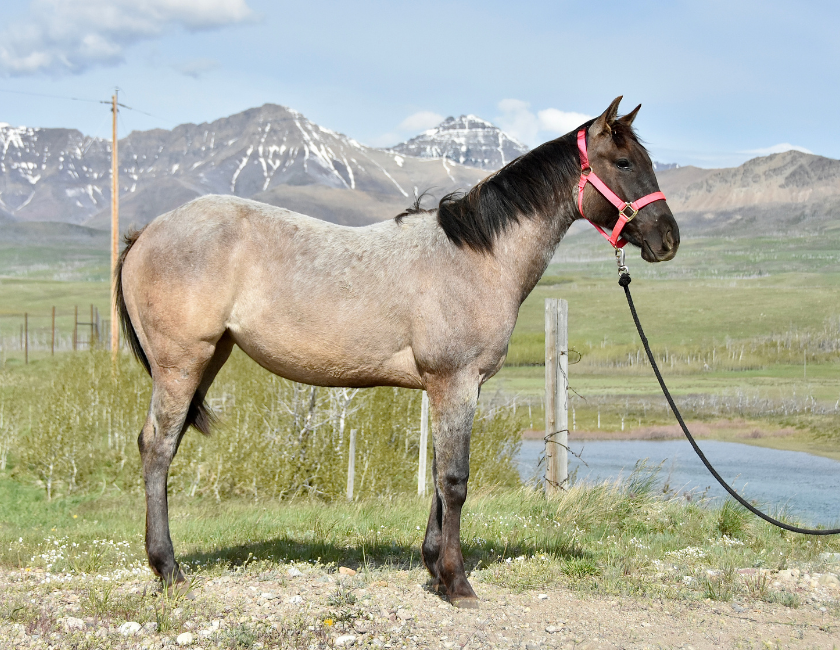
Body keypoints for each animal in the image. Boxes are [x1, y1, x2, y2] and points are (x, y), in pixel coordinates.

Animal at [116, 96, 679, 607]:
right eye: (624, 163)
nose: (669, 239)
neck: (476, 257)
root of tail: (147, 232)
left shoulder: (454, 387)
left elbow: (436, 473)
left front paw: (433, 568)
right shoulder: (455, 381)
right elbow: (454, 480)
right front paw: (456, 583)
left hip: (209, 359)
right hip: (181, 364)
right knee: (157, 449)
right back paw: (169, 570)